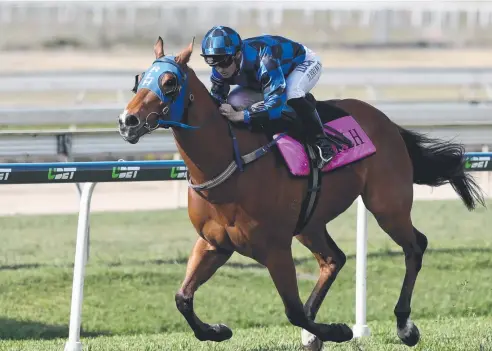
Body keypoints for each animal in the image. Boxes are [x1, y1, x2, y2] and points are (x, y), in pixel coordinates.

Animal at [117, 38, 482, 350]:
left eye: (169, 83)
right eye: (138, 80)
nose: (127, 121)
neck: (231, 164)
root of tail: (388, 123)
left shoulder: (276, 248)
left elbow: (292, 310)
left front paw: (339, 330)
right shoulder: (213, 244)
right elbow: (182, 298)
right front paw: (218, 331)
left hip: (387, 206)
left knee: (414, 246)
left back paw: (405, 326)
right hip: (310, 223)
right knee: (334, 259)